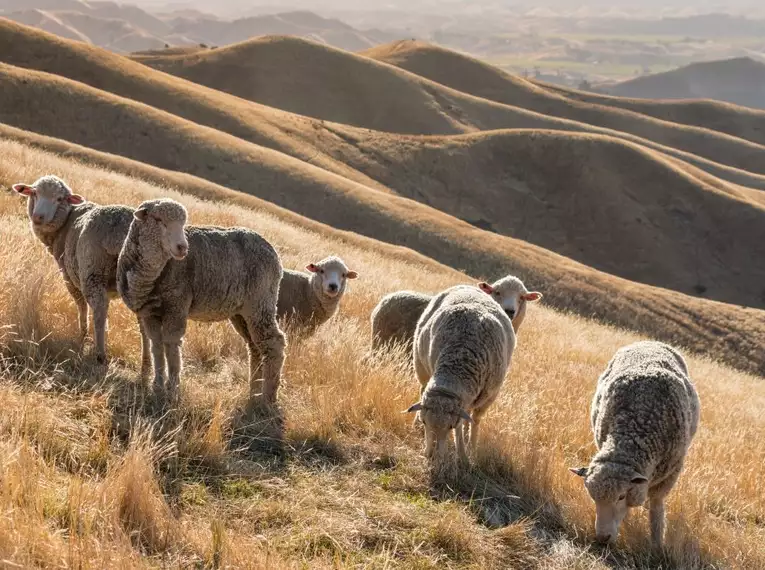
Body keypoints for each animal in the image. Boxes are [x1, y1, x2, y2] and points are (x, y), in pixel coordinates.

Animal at [11, 173, 148, 372]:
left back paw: (100, 355)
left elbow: (81, 305)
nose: (38, 217)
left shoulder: (69, 276)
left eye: (59, 199)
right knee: (146, 322)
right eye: (34, 193)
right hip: (144, 278)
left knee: (99, 310)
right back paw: (147, 366)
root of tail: (123, 228)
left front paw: (83, 334)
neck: (67, 220)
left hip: (93, 272)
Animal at [116, 197, 286, 402]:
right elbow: (156, 345)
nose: (183, 247)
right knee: (255, 346)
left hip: (260, 303)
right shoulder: (150, 311)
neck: (154, 273)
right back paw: (254, 391)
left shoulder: (177, 306)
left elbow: (171, 346)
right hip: (241, 312)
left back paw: (267, 397)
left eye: (183, 224)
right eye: (158, 219)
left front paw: (172, 390)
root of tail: (273, 250)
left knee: (274, 343)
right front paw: (157, 386)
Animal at [402, 282, 516, 466]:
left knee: (473, 419)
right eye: (424, 421)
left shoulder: (488, 396)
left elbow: (468, 423)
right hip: (421, 366)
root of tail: (468, 285)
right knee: (422, 388)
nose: (431, 456)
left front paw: (464, 454)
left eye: (449, 426)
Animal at [568, 340, 700, 548]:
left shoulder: (670, 473)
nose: (602, 538)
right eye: (592, 497)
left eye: (621, 496)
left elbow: (656, 506)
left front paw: (657, 543)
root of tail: (649, 341)